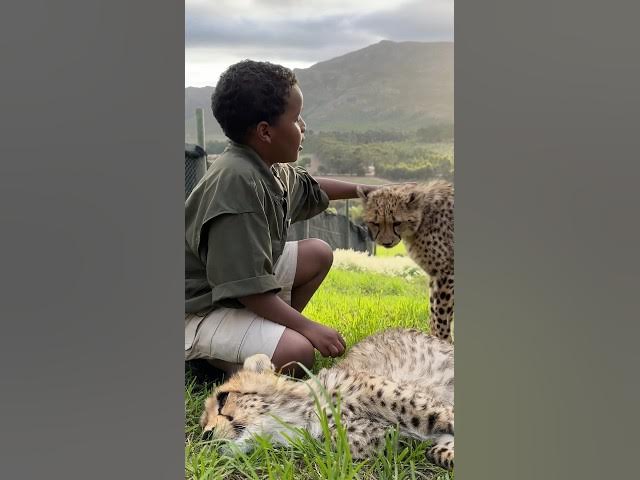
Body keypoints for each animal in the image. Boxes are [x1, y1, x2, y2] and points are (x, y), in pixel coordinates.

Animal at [200, 328, 455, 469]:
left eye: (223, 398)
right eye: (203, 424)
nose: (205, 436)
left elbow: (443, 418)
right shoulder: (398, 440)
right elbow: (439, 450)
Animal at [358, 181, 454, 341]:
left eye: (397, 223)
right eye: (375, 223)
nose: (386, 243)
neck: (424, 216)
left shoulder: (447, 272)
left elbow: (441, 313)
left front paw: (443, 341)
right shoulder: (436, 275)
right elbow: (434, 312)